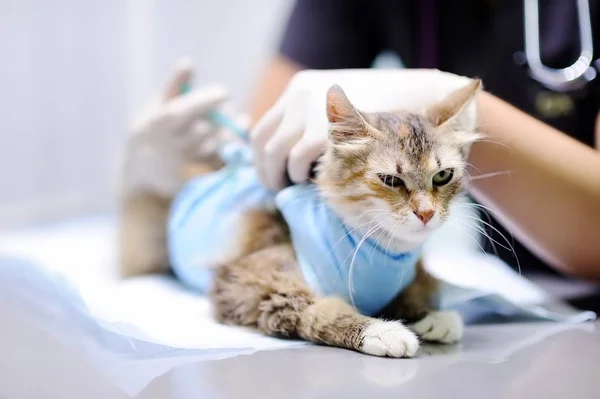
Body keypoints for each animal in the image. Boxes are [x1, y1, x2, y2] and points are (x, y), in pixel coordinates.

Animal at [118, 78, 482, 360]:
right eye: (391, 180)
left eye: (443, 176)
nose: (426, 213)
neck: (382, 255)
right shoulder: (258, 288)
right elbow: (326, 312)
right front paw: (384, 332)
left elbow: (414, 294)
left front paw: (431, 317)